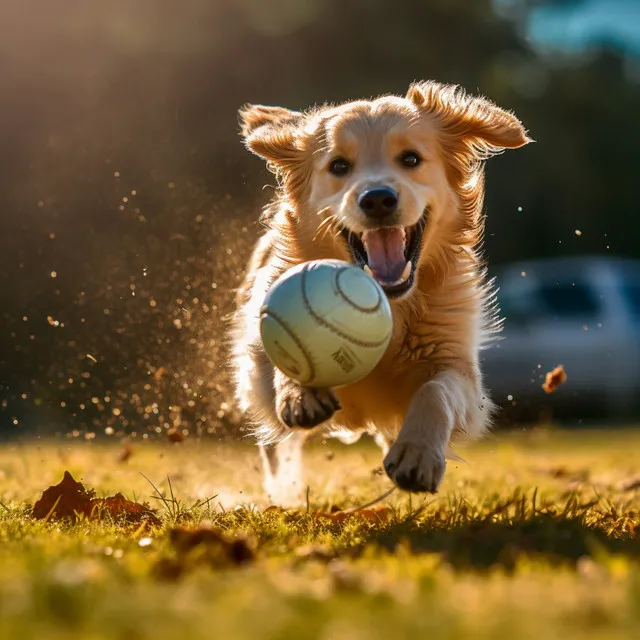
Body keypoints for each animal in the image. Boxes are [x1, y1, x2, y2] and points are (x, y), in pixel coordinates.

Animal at [230, 81, 528, 504]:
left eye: (410, 158)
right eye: (339, 166)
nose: (377, 198)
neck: (390, 304)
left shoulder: (461, 372)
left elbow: (437, 392)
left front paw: (418, 454)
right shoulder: (256, 346)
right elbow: (274, 359)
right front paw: (300, 393)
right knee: (278, 454)